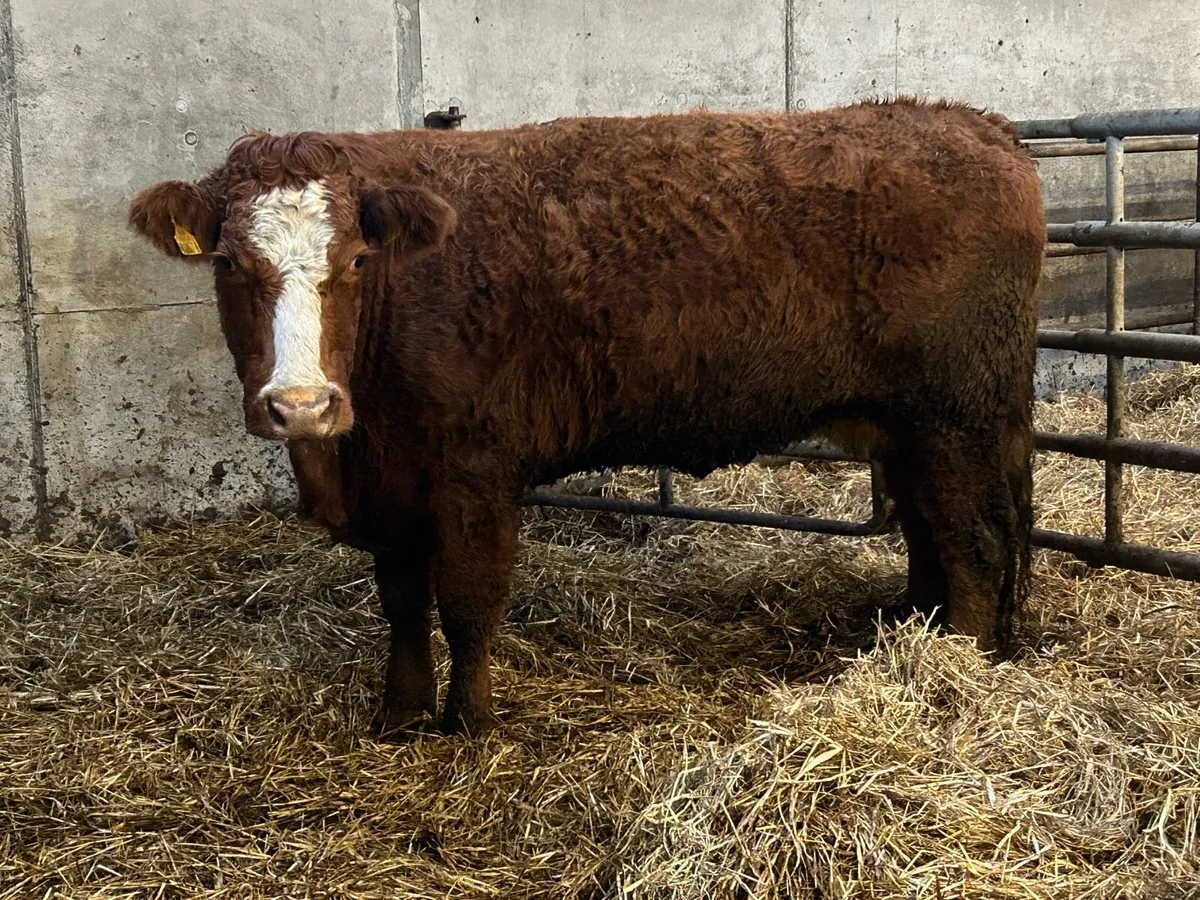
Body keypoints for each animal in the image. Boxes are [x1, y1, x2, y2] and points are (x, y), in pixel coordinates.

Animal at [127, 98, 1046, 737]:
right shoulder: (392, 483)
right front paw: (399, 713)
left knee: (974, 543)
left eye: (355, 259)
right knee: (932, 535)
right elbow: (402, 604)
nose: (301, 405)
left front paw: (467, 723)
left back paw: (950, 666)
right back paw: (908, 633)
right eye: (228, 263)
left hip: (955, 416)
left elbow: (467, 603)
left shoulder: (474, 475)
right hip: (917, 430)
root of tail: (979, 126)